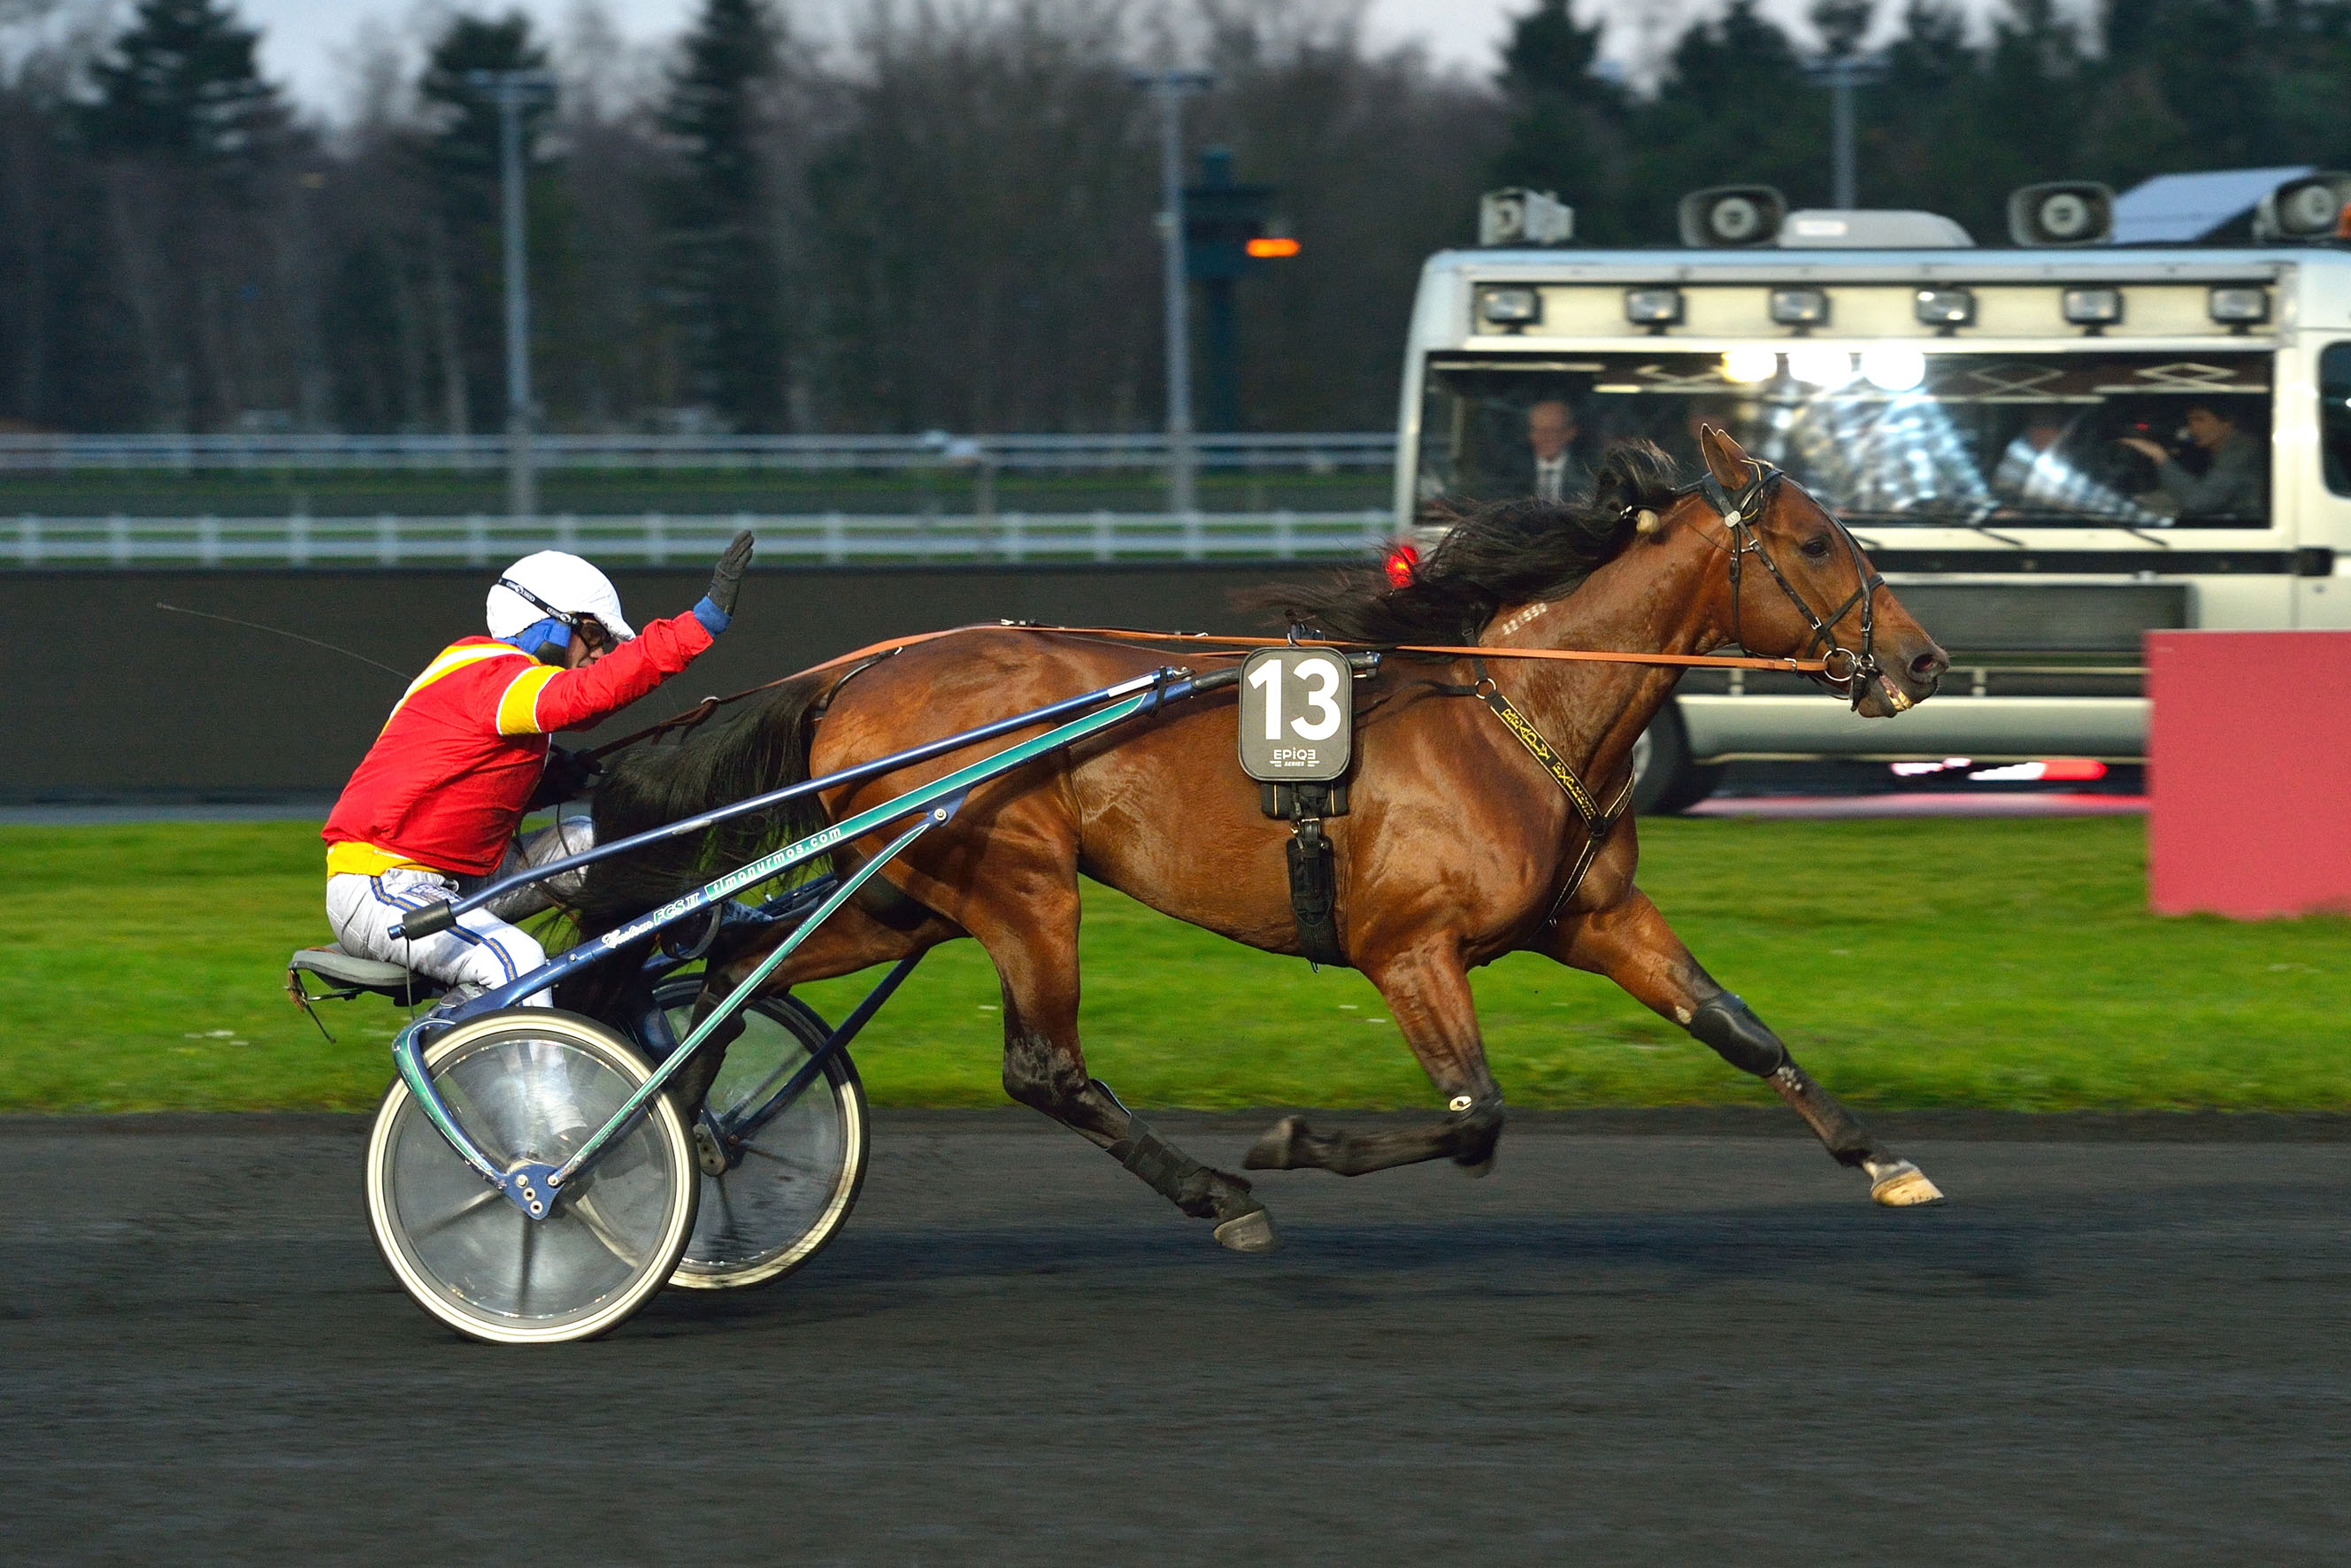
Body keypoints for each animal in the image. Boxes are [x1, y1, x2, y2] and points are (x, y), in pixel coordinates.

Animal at [578, 425, 1955, 1250]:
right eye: (1817, 542)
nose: (1922, 661)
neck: (1519, 709)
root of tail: (851, 673)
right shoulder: (1408, 945)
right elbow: (1476, 1114)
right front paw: (1292, 1142)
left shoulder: (1596, 917)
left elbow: (1738, 1028)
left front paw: (1883, 1158)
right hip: (1020, 883)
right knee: (1043, 1069)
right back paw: (1220, 1195)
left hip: (906, 891)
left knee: (723, 970)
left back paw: (681, 1144)